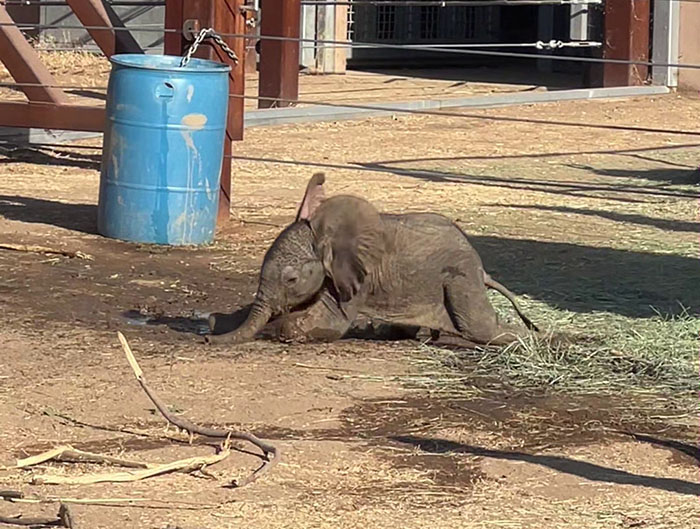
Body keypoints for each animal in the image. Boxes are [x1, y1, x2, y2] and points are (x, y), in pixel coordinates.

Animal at [209, 173, 540, 346]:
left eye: (291, 279)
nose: (206, 341)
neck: (325, 233)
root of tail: (481, 268)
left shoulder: (358, 276)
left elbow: (330, 322)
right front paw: (216, 321)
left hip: (461, 276)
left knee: (481, 329)